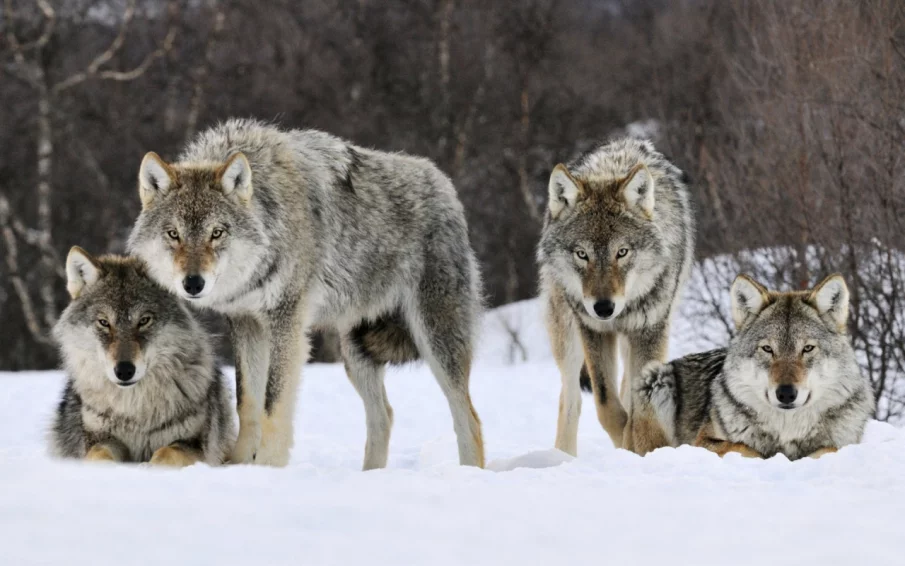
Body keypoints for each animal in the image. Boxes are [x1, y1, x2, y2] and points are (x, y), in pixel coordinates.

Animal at [50, 248, 235, 466]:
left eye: (144, 321)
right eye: (104, 322)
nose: (124, 371)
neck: (135, 410)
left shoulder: (194, 445)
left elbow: (166, 453)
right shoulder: (100, 439)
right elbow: (99, 455)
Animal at [129, 120, 488, 470]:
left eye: (216, 233)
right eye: (173, 234)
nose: (193, 284)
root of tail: (444, 184)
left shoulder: (286, 322)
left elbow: (273, 405)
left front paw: (268, 468)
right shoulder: (246, 323)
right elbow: (247, 402)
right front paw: (240, 465)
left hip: (435, 341)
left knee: (469, 418)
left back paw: (468, 473)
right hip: (355, 352)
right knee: (384, 416)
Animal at [536, 138, 692, 458]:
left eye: (622, 252)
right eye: (582, 254)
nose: (604, 307)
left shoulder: (650, 330)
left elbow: (638, 406)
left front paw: (640, 447)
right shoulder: (593, 330)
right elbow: (607, 405)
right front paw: (626, 443)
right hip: (567, 335)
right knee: (571, 398)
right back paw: (563, 457)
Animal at [628, 274, 876, 462]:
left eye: (807, 348)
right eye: (767, 349)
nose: (786, 393)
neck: (787, 431)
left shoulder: (843, 443)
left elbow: (829, 449)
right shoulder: (702, 441)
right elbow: (745, 448)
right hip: (655, 378)